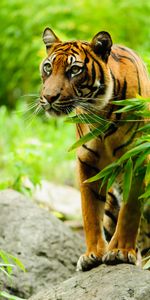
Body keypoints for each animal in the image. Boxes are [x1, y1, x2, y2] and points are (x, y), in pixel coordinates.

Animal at [39, 27, 150, 272]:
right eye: (48, 67)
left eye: (74, 70)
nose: (49, 97)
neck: (101, 113)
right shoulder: (87, 162)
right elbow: (89, 211)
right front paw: (93, 254)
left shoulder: (137, 158)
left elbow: (130, 210)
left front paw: (120, 251)